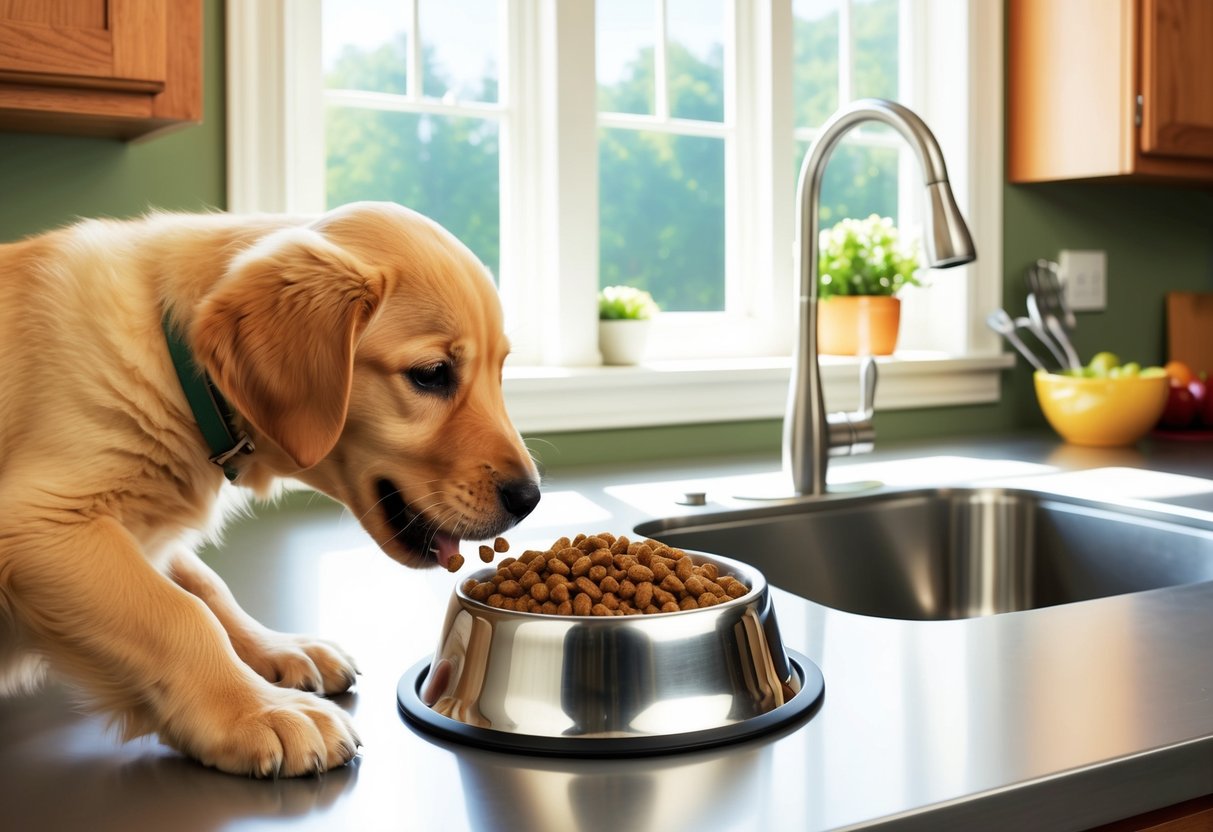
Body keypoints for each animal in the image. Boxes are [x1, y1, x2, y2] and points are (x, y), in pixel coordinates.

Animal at [0, 200, 540, 776]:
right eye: (432, 373)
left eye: (500, 371)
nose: (530, 499)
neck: (177, 369)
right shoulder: (36, 523)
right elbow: (179, 612)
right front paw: (262, 711)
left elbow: (208, 587)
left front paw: (283, 651)